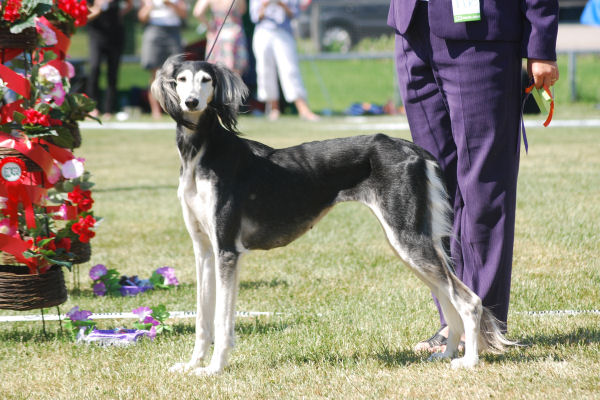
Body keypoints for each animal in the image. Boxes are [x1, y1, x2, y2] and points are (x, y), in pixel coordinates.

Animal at [151, 55, 510, 376]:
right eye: (180, 80)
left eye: (206, 80)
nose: (191, 102)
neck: (202, 152)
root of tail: (413, 148)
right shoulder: (204, 249)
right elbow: (202, 318)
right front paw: (192, 364)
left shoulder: (227, 250)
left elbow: (222, 320)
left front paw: (213, 369)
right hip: (410, 243)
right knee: (448, 298)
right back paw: (446, 353)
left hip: (408, 239)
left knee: (469, 300)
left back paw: (469, 361)